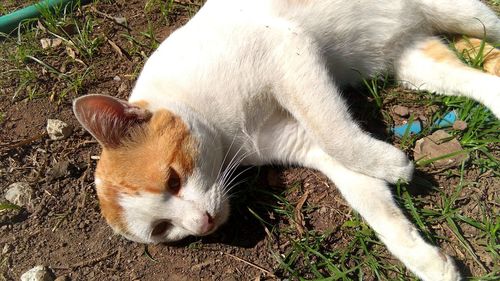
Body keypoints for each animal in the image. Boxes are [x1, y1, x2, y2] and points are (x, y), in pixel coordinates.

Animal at [73, 1, 500, 278]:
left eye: (173, 180)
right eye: (162, 230)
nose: (203, 224)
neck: (231, 141)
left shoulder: (288, 52)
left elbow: (337, 133)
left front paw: (393, 164)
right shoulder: (308, 144)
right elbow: (372, 202)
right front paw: (425, 260)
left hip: (466, 14)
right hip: (417, 64)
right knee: (475, 80)